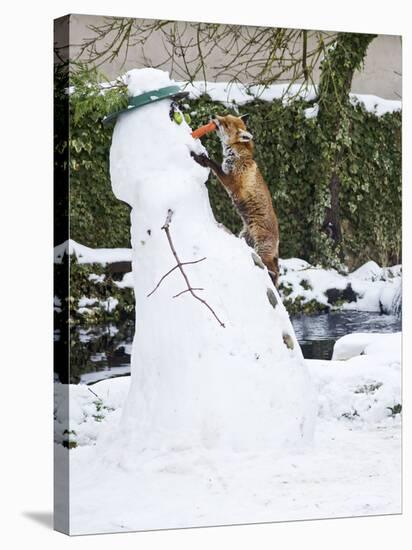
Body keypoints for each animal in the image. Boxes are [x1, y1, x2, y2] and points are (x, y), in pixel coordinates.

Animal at [191, 116, 280, 288]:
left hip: (261, 250)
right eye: (224, 116)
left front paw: (202, 158)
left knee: (274, 271)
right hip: (245, 239)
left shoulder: (231, 181)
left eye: (225, 124)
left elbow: (214, 165)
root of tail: (278, 240)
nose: (214, 117)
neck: (238, 155)